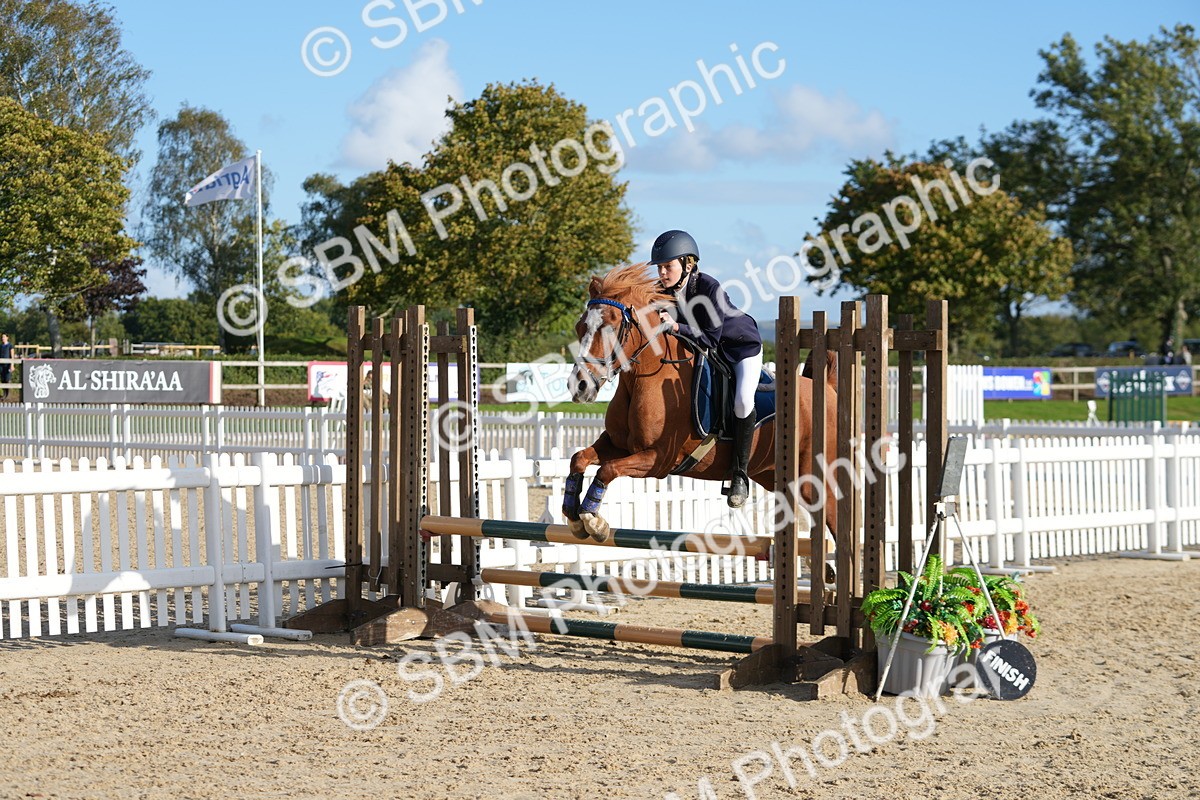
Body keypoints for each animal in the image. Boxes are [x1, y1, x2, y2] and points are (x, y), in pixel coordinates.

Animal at [562, 263, 839, 546]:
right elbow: (579, 458)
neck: (643, 376)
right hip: (773, 475)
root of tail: (827, 388)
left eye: (610, 327)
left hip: (814, 481)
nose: (579, 386)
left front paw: (593, 521)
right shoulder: (619, 445)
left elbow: (607, 470)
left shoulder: (658, 459)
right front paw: (574, 518)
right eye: (580, 327)